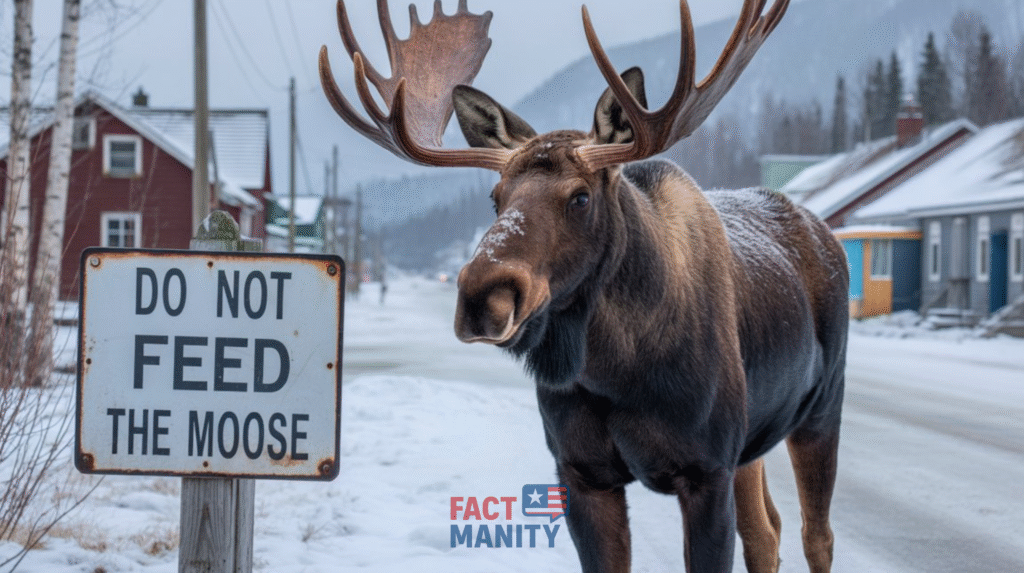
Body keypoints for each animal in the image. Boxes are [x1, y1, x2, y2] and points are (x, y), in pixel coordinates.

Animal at [319, 1, 848, 572]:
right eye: (496, 197)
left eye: (580, 197)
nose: (481, 296)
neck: (615, 372)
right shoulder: (580, 472)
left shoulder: (706, 470)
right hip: (752, 443)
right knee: (766, 532)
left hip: (822, 409)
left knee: (817, 535)